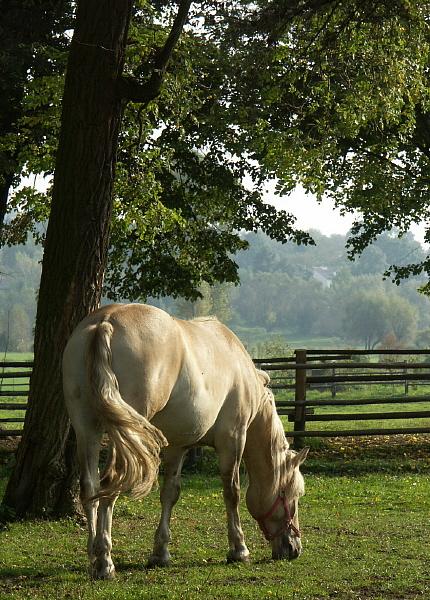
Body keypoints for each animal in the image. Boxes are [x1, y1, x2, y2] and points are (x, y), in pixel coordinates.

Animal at [62, 302, 308, 580]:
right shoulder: (233, 439)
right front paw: (239, 550)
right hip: (123, 436)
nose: (294, 549)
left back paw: (94, 557)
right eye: (290, 494)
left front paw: (160, 553)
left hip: (87, 430)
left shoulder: (177, 447)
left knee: (91, 487)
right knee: (110, 484)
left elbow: (170, 493)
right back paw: (105, 561)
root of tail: (106, 320)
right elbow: (231, 492)